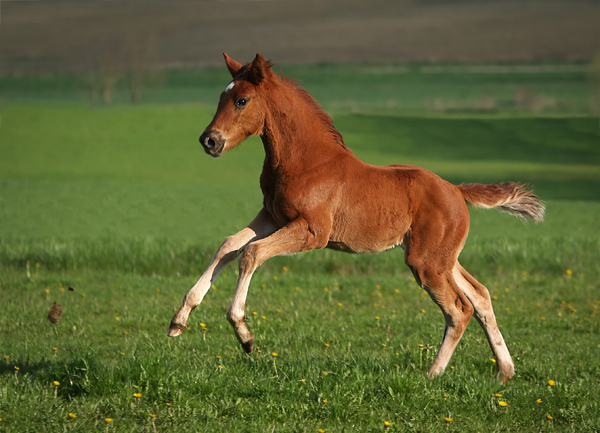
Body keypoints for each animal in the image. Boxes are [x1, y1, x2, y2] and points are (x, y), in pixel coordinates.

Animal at [169, 53, 544, 382]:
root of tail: (457, 190)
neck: (305, 161)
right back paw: (505, 371)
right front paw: (179, 319)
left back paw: (433, 374)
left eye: (242, 100)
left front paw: (243, 334)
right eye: (222, 97)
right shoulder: (271, 217)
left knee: (458, 309)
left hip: (425, 261)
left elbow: (251, 253)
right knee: (480, 296)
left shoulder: (312, 231)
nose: (209, 140)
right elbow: (229, 245)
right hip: (442, 258)